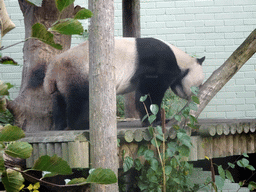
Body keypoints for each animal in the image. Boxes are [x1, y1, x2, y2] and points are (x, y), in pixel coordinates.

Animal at [43, 37, 205, 130]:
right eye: (198, 85)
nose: (194, 98)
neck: (181, 61)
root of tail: (52, 71)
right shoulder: (157, 64)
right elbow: (150, 93)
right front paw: (155, 121)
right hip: (78, 71)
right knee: (80, 99)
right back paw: (82, 125)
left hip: (62, 81)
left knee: (59, 102)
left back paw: (60, 126)